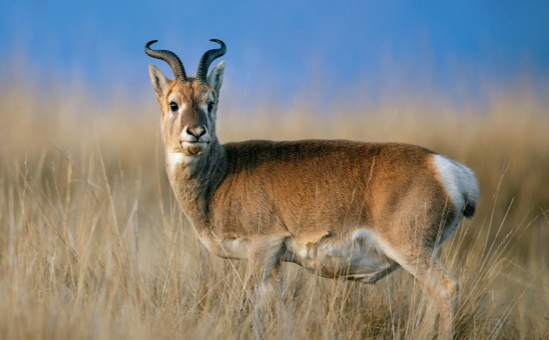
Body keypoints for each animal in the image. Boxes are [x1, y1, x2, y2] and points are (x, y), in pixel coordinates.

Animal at [146, 39, 480, 338]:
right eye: (174, 103)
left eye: (211, 102)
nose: (196, 132)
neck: (224, 172)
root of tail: (444, 167)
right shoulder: (276, 261)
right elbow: (274, 307)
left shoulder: (262, 248)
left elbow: (253, 303)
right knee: (431, 297)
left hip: (410, 252)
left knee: (447, 289)